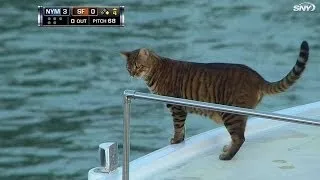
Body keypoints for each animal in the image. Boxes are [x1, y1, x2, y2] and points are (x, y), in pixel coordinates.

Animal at [120, 40, 310, 160]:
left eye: (138, 66)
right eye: (128, 67)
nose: (132, 73)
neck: (156, 69)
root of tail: (258, 77)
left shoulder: (177, 107)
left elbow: (178, 127)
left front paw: (177, 139)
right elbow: (182, 128)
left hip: (230, 113)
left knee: (240, 138)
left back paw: (227, 156)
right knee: (239, 136)